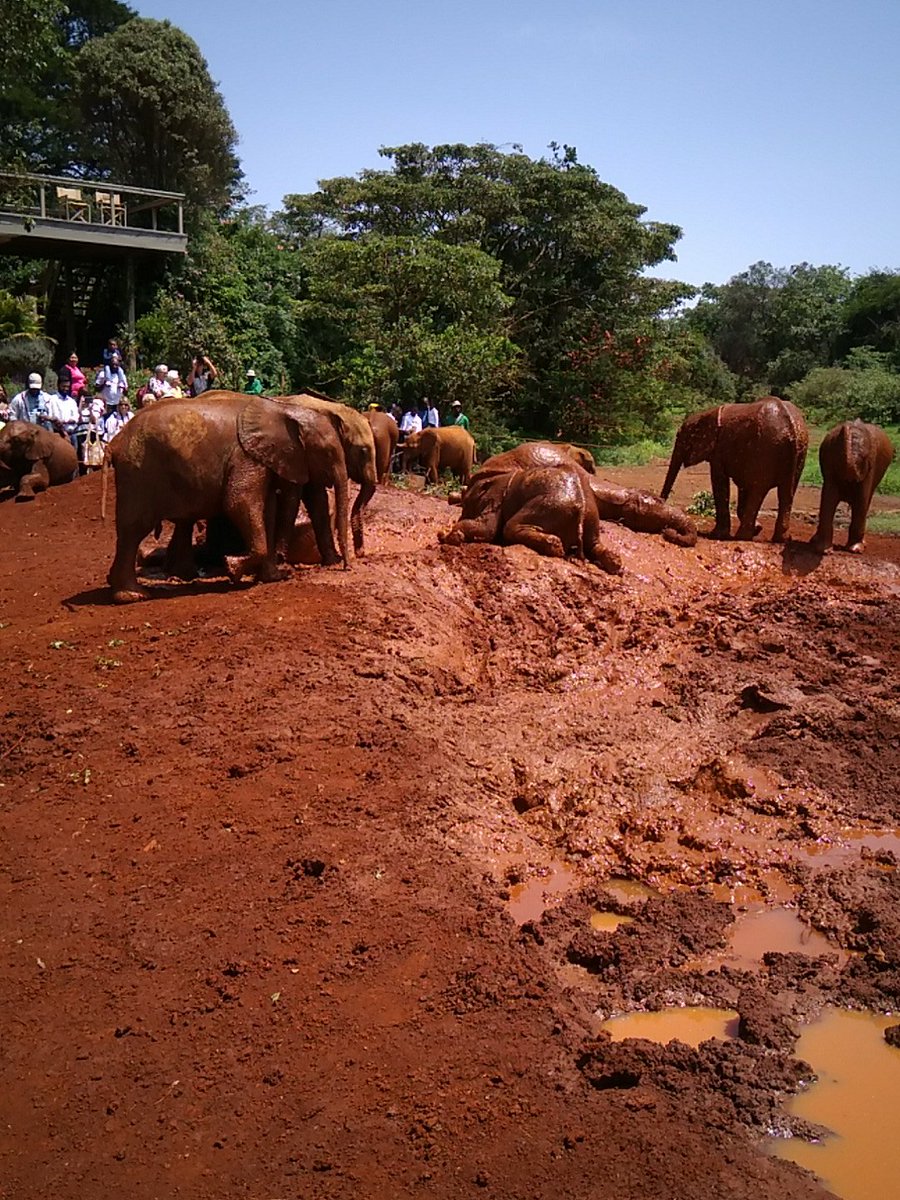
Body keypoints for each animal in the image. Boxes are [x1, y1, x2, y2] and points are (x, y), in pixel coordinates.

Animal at [101, 392, 350, 604]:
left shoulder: (262, 459)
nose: (346, 567)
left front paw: (274, 577)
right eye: (327, 453)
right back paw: (133, 596)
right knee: (134, 528)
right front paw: (232, 568)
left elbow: (266, 511)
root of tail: (114, 442)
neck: (284, 410)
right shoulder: (245, 457)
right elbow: (238, 503)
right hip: (138, 472)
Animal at [439, 464, 623, 574]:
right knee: (594, 544)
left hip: (549, 506)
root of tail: (581, 505)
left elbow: (487, 528)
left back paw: (556, 548)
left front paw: (446, 535)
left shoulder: (496, 499)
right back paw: (615, 565)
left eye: (465, 504)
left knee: (510, 527)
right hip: (591, 516)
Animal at [661, 397, 808, 542]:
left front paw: (717, 535)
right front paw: (757, 528)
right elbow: (742, 487)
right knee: (786, 494)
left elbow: (719, 482)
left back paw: (742, 537)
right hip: (798, 454)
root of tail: (790, 427)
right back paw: (781, 539)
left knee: (758, 490)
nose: (662, 503)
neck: (706, 414)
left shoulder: (719, 451)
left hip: (766, 451)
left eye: (681, 438)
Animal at [810, 420, 895, 554]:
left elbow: (861, 499)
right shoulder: (829, 461)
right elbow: (829, 498)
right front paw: (823, 551)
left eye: (864, 457)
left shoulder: (871, 466)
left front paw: (855, 550)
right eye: (839, 454)